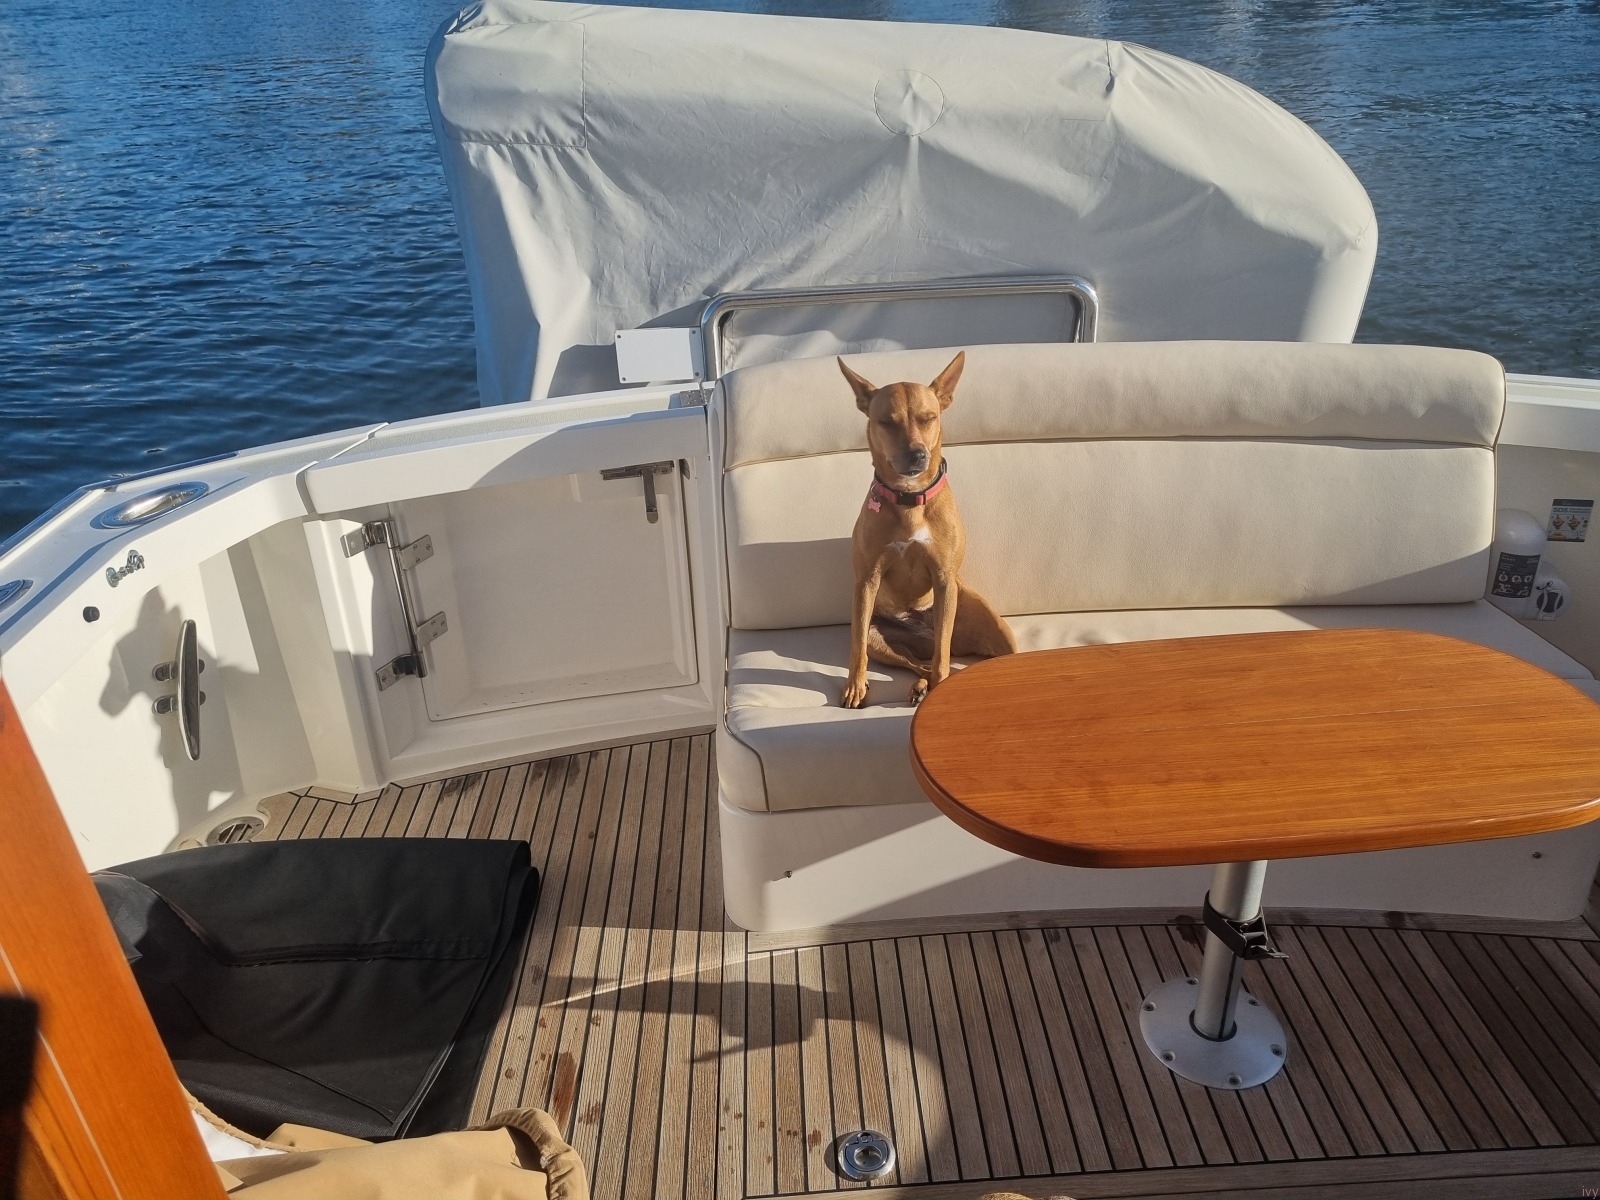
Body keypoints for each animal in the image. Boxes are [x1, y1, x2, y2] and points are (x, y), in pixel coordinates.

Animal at [838, 351, 1017, 708]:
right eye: (886, 422)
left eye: (928, 418)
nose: (916, 454)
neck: (910, 500)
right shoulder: (866, 582)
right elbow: (856, 646)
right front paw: (855, 685)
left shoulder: (944, 579)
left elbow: (941, 658)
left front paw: (940, 685)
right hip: (880, 638)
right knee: (918, 661)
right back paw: (920, 685)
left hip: (997, 635)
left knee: (947, 657)